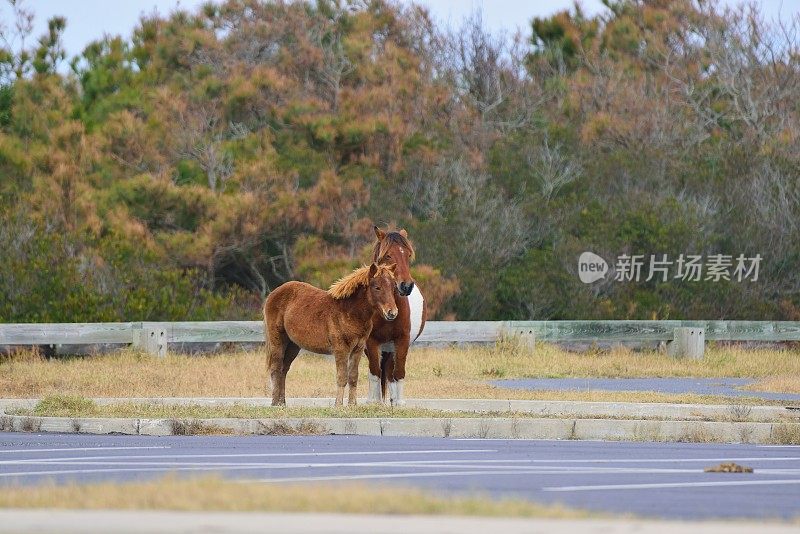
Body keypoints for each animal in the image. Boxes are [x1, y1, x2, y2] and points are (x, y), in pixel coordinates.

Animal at [264, 262, 398, 406]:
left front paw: (352, 405)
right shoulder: (341, 349)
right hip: (277, 340)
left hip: (292, 345)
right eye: (377, 287)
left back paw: (282, 403)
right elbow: (342, 377)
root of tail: (272, 294)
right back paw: (274, 403)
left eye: (393, 287)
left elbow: (353, 377)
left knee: (284, 370)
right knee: (276, 368)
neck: (349, 311)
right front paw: (338, 404)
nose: (392, 313)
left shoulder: (358, 349)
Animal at [368, 226, 428, 406]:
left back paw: (393, 400)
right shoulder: (372, 342)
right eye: (388, 255)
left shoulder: (402, 341)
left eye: (408, 255)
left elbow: (399, 372)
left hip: (391, 348)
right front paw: (374, 403)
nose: (406, 286)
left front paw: (399, 404)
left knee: (389, 372)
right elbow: (374, 372)